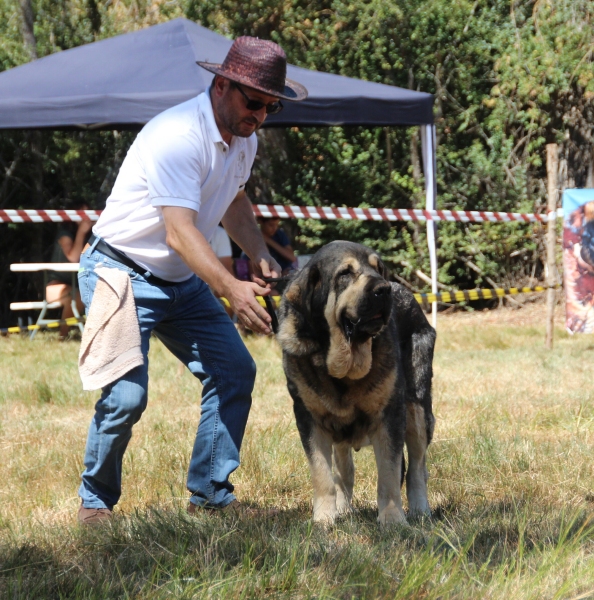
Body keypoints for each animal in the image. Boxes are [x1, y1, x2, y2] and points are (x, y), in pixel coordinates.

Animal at [276, 241, 432, 524]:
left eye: (378, 268)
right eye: (345, 274)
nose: (383, 288)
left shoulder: (391, 415)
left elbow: (389, 473)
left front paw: (393, 520)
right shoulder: (308, 418)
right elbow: (322, 473)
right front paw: (324, 519)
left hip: (417, 409)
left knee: (417, 466)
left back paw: (420, 510)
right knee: (344, 469)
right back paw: (343, 508)